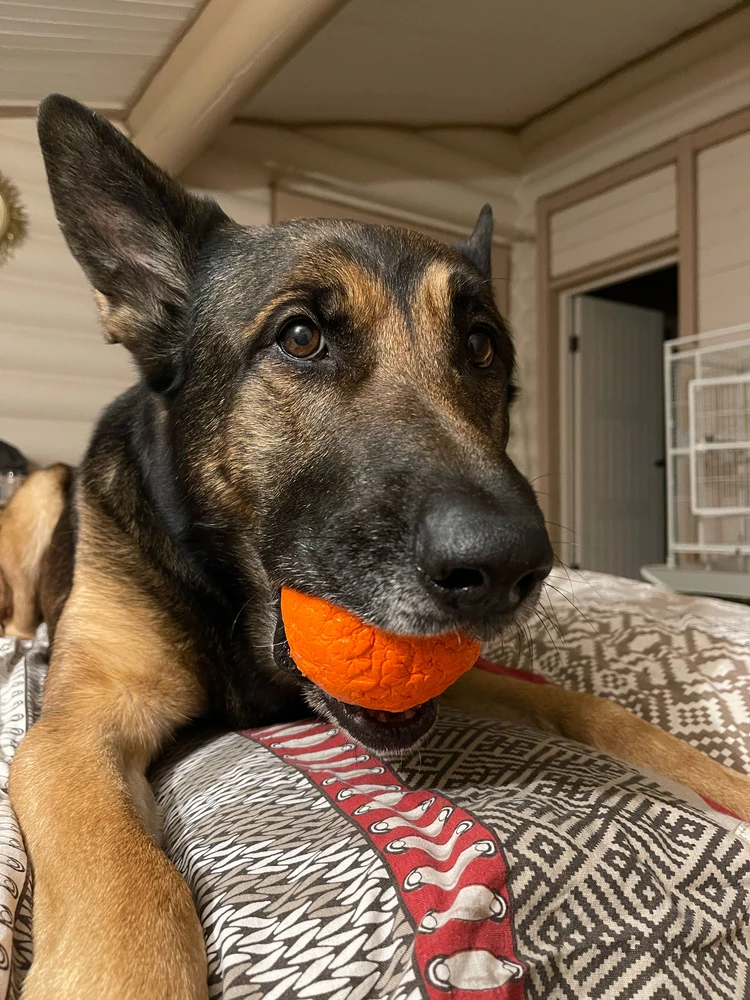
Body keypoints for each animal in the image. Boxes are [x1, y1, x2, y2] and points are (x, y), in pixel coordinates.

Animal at [5, 95, 750, 1000]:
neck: (235, 607)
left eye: (482, 345)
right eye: (299, 337)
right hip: (44, 489)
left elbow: (596, 709)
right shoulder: (74, 731)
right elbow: (126, 879)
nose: (509, 567)